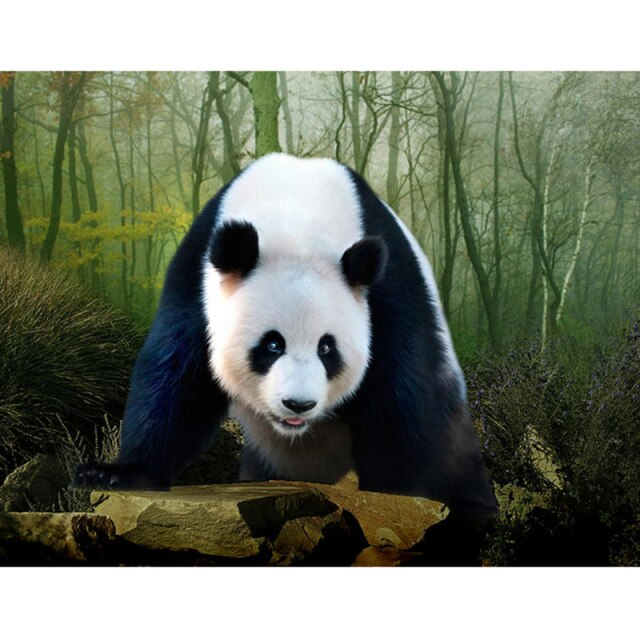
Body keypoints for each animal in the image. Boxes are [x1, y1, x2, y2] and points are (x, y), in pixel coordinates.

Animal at [74, 153, 497, 517]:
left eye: (327, 348)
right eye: (272, 344)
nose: (298, 404)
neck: (296, 214)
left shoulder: (388, 290)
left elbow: (403, 393)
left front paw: (399, 496)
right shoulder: (197, 276)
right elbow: (175, 375)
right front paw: (115, 473)